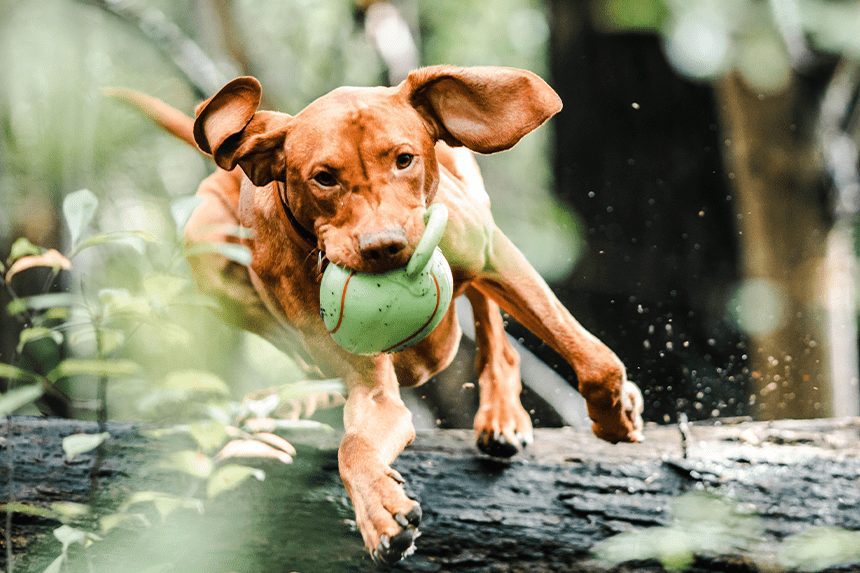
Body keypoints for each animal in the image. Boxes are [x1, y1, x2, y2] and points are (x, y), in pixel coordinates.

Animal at [119, 67, 644, 564]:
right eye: (324, 177)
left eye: (404, 159)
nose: (385, 246)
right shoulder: (370, 389)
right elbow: (354, 445)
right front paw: (379, 512)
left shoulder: (494, 255)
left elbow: (594, 360)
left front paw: (614, 415)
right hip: (206, 244)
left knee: (490, 321)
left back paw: (502, 412)